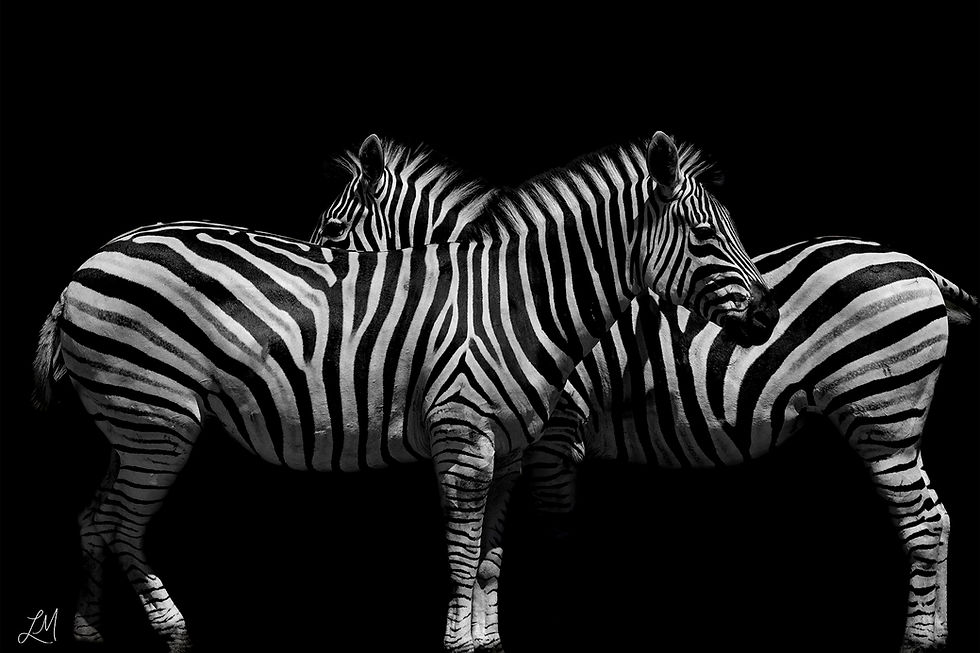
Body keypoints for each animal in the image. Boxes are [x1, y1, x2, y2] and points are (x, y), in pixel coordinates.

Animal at [32, 132, 775, 653]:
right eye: (706, 233)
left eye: (726, 230)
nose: (768, 316)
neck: (518, 302)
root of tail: (87, 262)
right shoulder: (466, 437)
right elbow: (462, 550)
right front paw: (458, 645)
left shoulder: (510, 451)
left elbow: (490, 557)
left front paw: (487, 642)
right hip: (158, 418)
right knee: (121, 524)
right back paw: (173, 632)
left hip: (130, 425)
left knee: (95, 518)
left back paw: (91, 633)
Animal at [314, 134, 978, 652]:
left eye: (332, 230)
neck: (513, 297)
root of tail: (918, 265)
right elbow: (491, 548)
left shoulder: (557, 435)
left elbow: (549, 537)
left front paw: (552, 629)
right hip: (895, 421)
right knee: (938, 516)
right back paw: (939, 634)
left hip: (883, 414)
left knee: (922, 520)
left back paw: (918, 644)